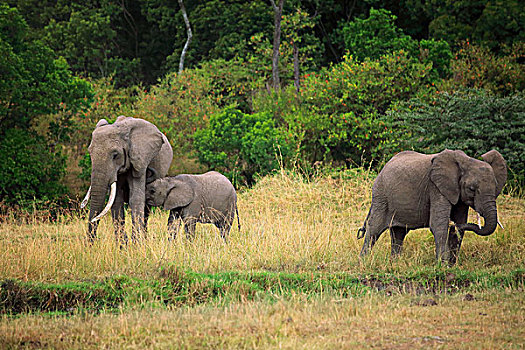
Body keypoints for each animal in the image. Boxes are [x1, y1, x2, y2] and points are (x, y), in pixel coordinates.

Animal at [81, 115, 173, 243]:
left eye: (115, 155)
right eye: (90, 153)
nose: (90, 245)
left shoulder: (139, 161)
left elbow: (136, 198)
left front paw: (136, 244)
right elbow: (116, 200)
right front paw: (122, 244)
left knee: (146, 207)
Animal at [358, 148, 506, 266]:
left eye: (496, 187)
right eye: (471, 189)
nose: (452, 224)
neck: (466, 161)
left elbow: (460, 223)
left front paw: (452, 264)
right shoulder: (435, 187)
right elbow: (438, 225)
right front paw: (442, 265)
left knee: (398, 233)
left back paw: (394, 263)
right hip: (381, 196)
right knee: (374, 229)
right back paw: (364, 261)